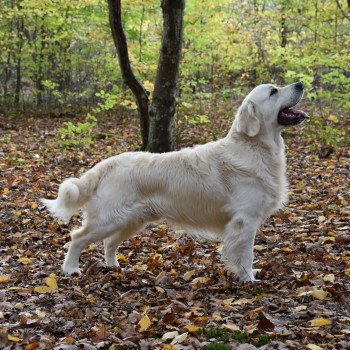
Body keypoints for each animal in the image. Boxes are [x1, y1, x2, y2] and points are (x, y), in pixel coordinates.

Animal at [42, 82, 308, 282]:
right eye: (273, 91)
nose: (300, 84)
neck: (254, 147)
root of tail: (107, 164)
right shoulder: (245, 221)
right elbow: (246, 254)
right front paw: (248, 279)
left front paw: (251, 274)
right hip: (109, 219)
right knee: (77, 237)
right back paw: (70, 269)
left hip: (130, 221)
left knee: (109, 243)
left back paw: (114, 266)